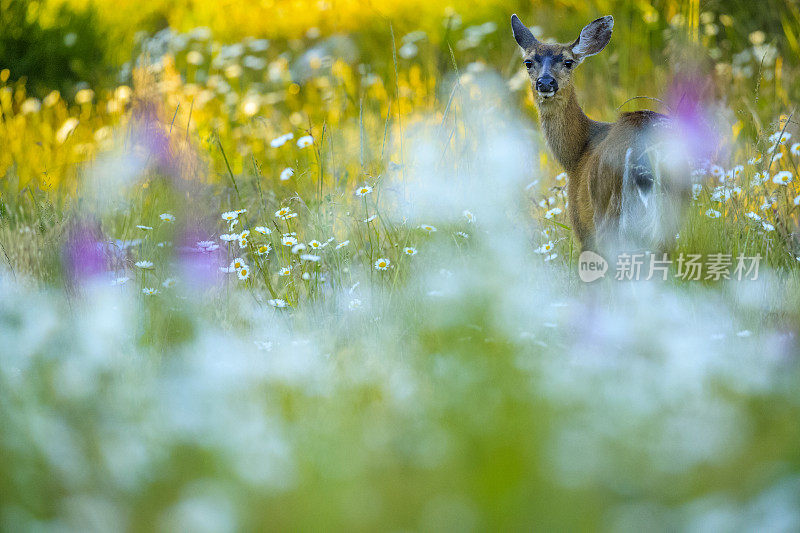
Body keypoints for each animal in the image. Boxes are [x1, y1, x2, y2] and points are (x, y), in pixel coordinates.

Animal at [512, 13, 688, 252]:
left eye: (568, 62)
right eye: (528, 62)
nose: (546, 82)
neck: (576, 155)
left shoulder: (581, 223)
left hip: (606, 213)